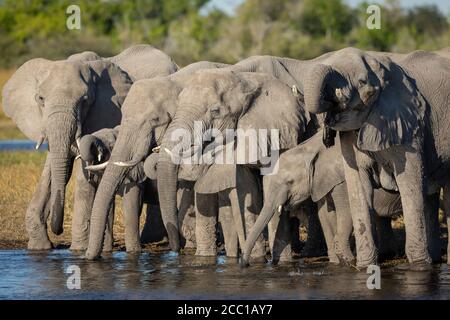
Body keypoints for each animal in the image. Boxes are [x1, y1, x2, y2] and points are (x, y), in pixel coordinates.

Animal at [1, 45, 178, 250]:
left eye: (84, 100)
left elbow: (82, 173)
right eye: (40, 98)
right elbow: (53, 170)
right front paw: (40, 246)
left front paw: (78, 249)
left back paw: (151, 240)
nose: (58, 230)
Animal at [302, 46, 450, 268]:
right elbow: (358, 186)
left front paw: (419, 266)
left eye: (363, 83)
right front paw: (365, 266)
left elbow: (410, 183)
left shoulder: (409, 125)